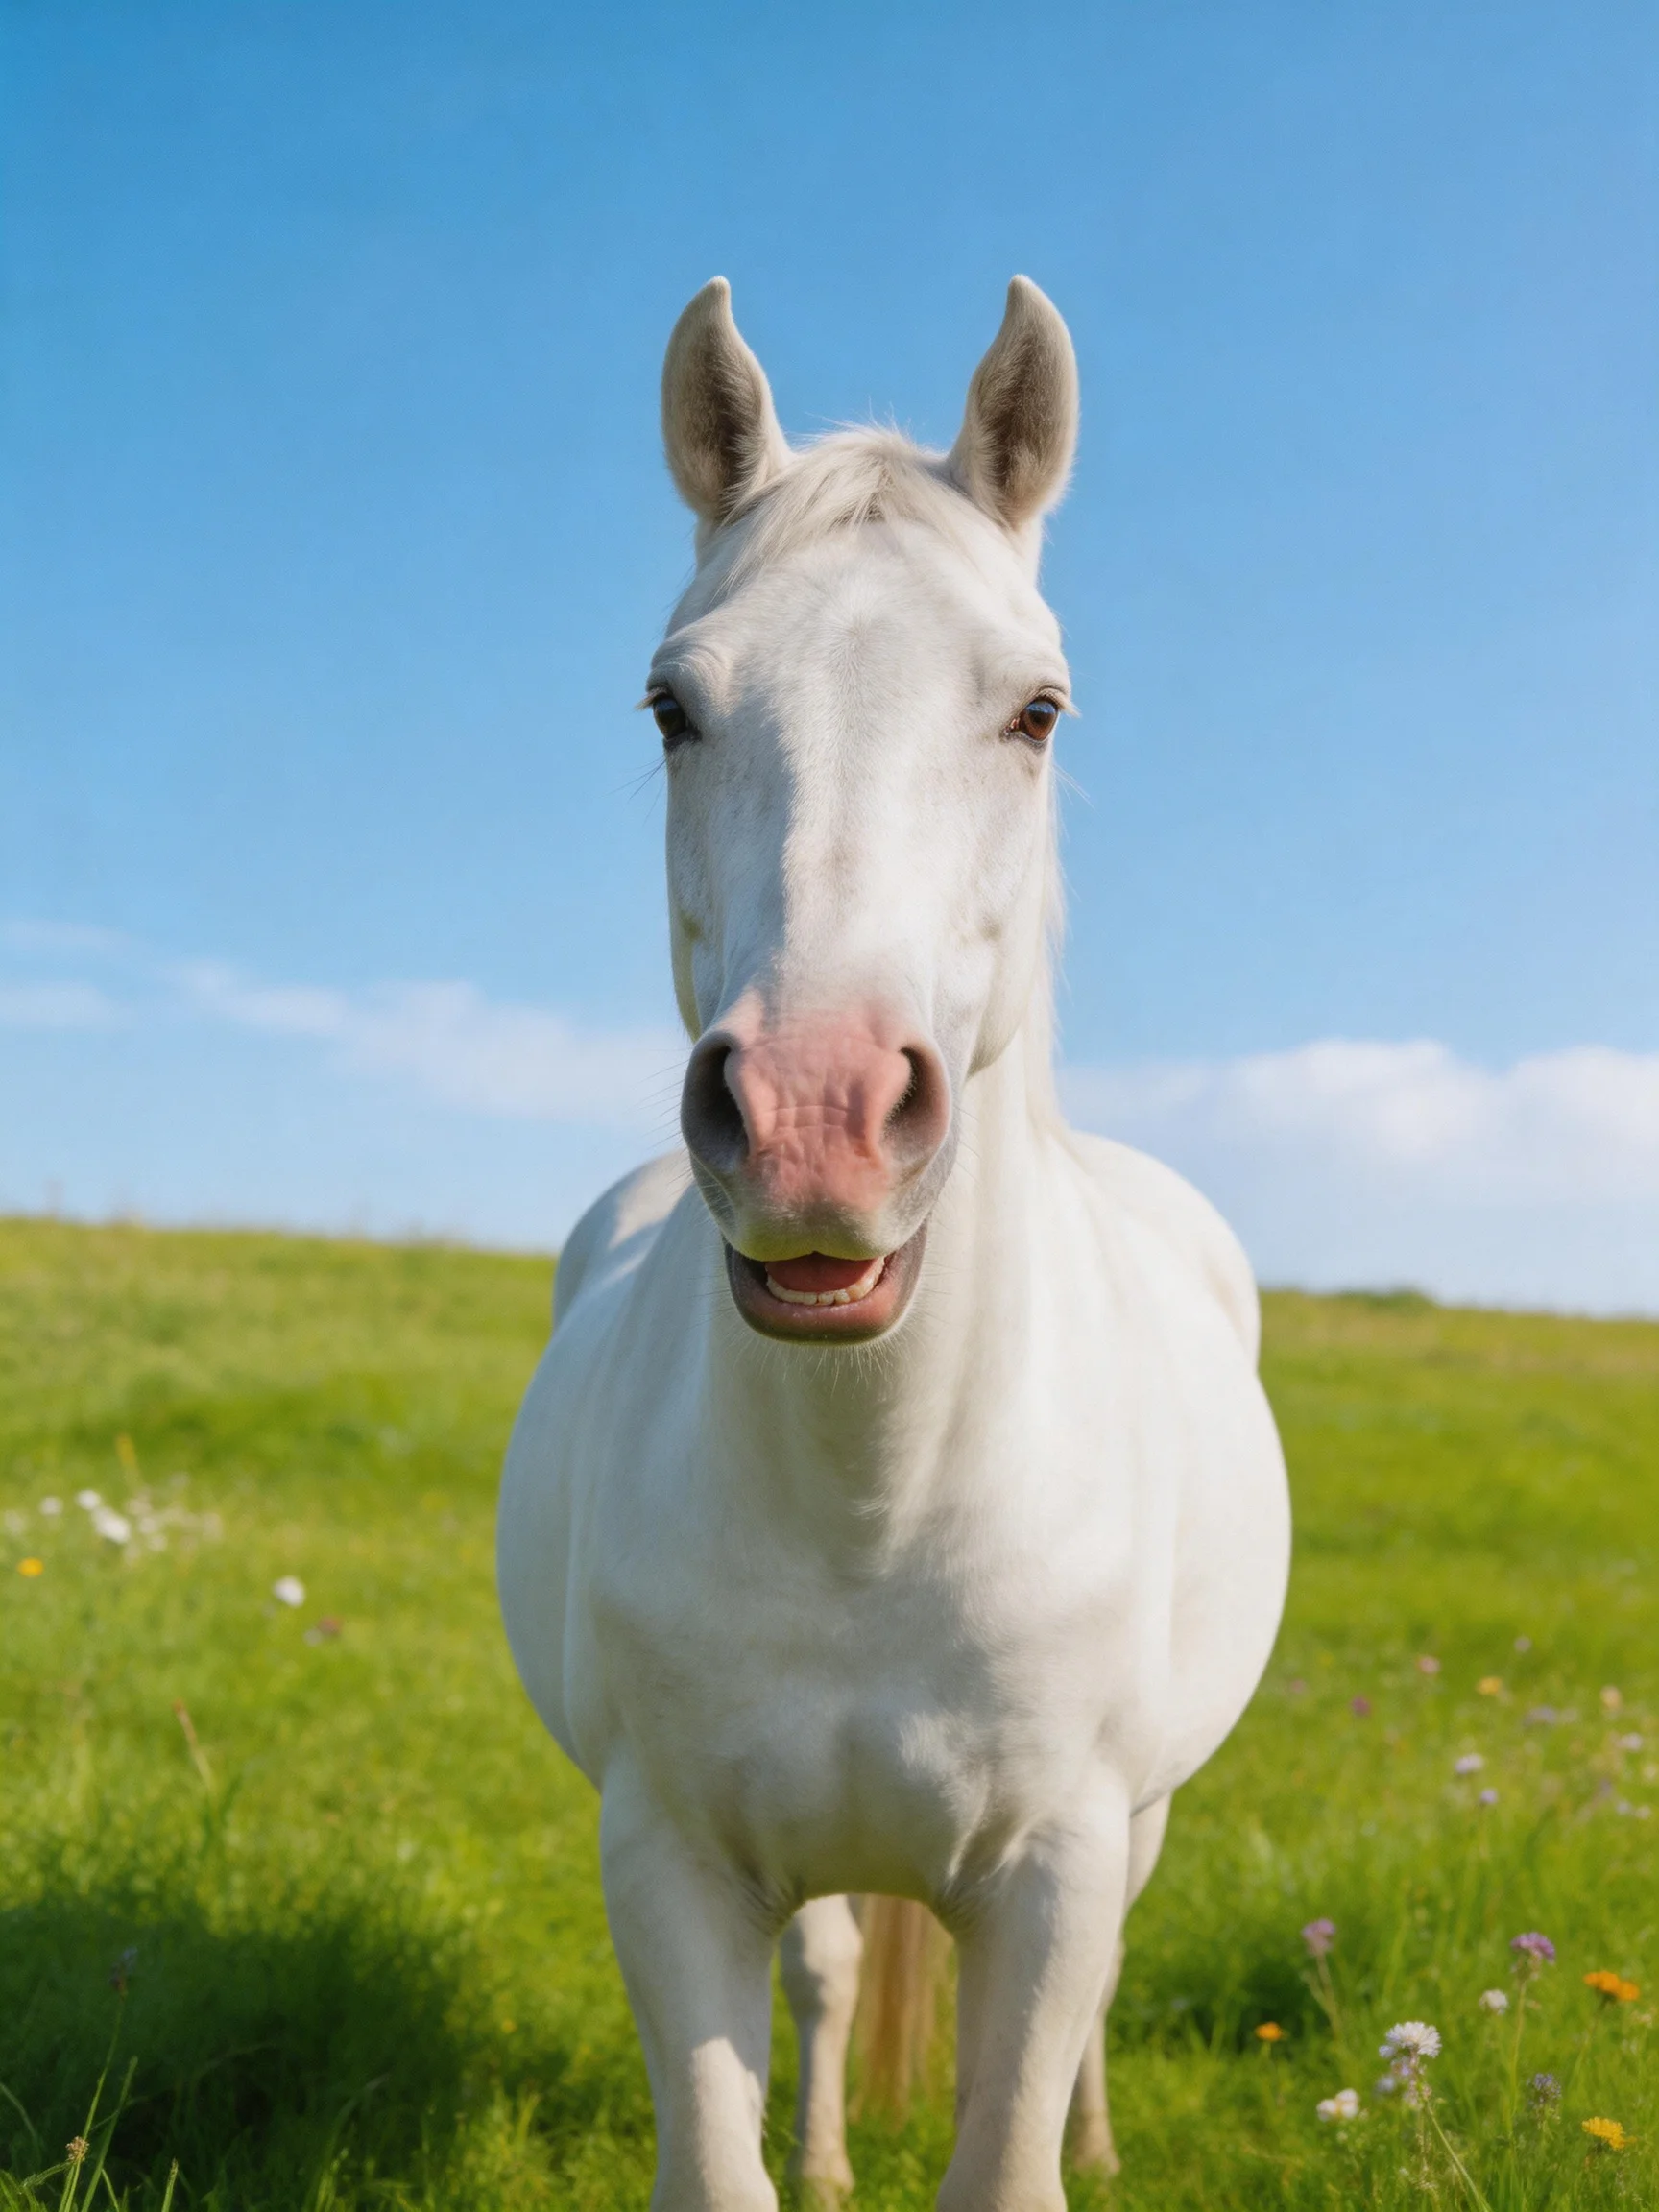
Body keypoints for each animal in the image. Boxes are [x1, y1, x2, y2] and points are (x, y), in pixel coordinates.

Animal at [498, 275, 1290, 2211]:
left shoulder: (1060, 1863)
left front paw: (1063, 2144)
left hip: (1138, 1819)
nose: (816, 1118)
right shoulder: (670, 1862)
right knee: (838, 1966)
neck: (879, 1496)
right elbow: (736, 2133)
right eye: (670, 707)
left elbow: (1013, 2140)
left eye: (1037, 710)